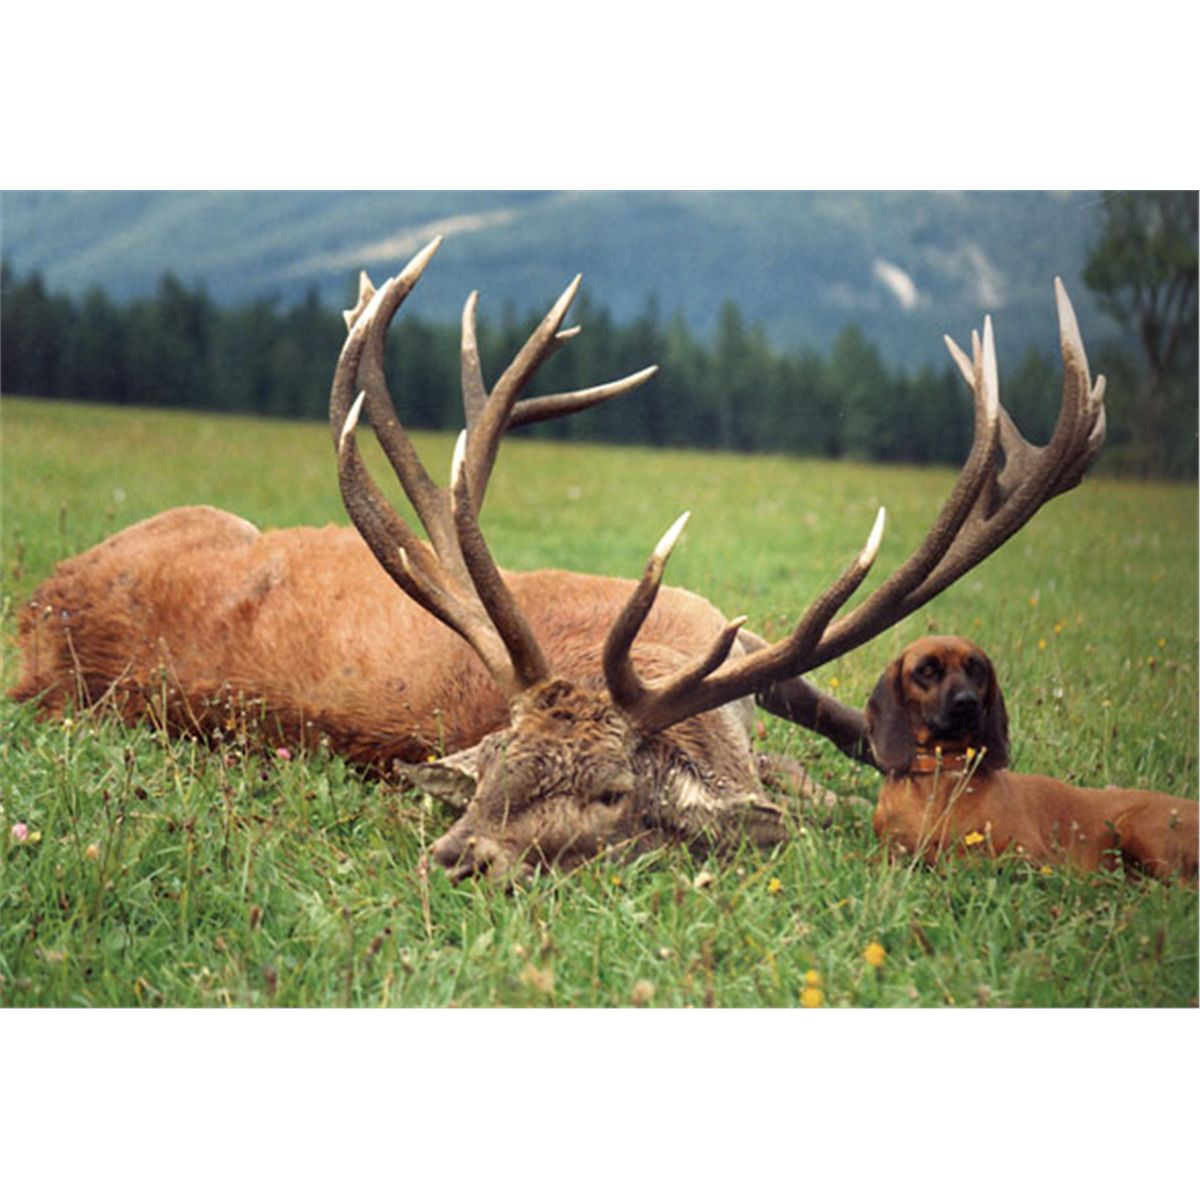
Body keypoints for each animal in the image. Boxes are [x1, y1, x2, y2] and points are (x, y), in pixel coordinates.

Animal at [10, 238, 1108, 881]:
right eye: (497, 765)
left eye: (615, 795)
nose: (456, 857)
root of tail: (34, 621)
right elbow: (814, 780)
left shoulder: (725, 632)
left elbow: (835, 724)